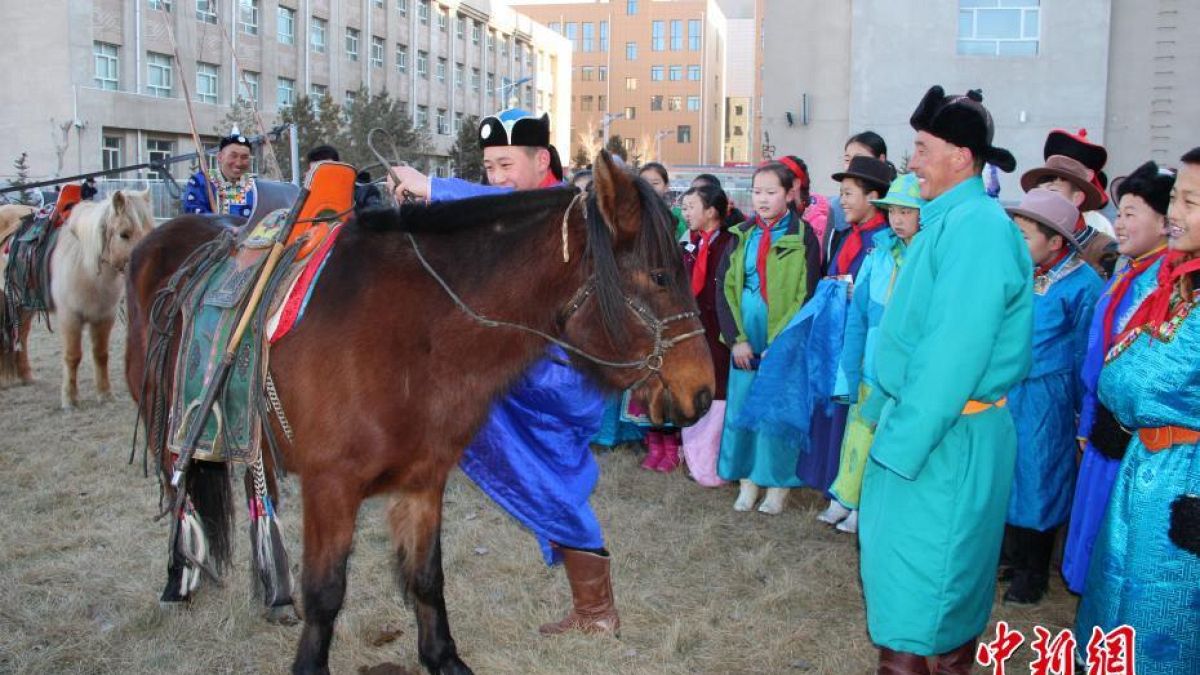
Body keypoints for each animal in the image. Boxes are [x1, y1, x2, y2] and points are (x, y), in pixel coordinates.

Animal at [0, 192, 154, 408]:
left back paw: (26, 376)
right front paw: (70, 399)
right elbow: (73, 356)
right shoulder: (70, 318)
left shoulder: (104, 317)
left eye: (151, 230)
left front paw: (105, 394)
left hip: (24, 304)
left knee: (21, 335)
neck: (85, 267)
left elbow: (101, 354)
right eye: (124, 234)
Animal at [124, 152, 710, 672]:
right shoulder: (331, 486)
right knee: (180, 496)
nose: (704, 392)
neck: (411, 332)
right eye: (660, 276)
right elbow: (327, 590)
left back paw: (274, 593)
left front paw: (442, 657)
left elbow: (427, 578)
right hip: (168, 427)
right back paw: (178, 581)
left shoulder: (423, 481)